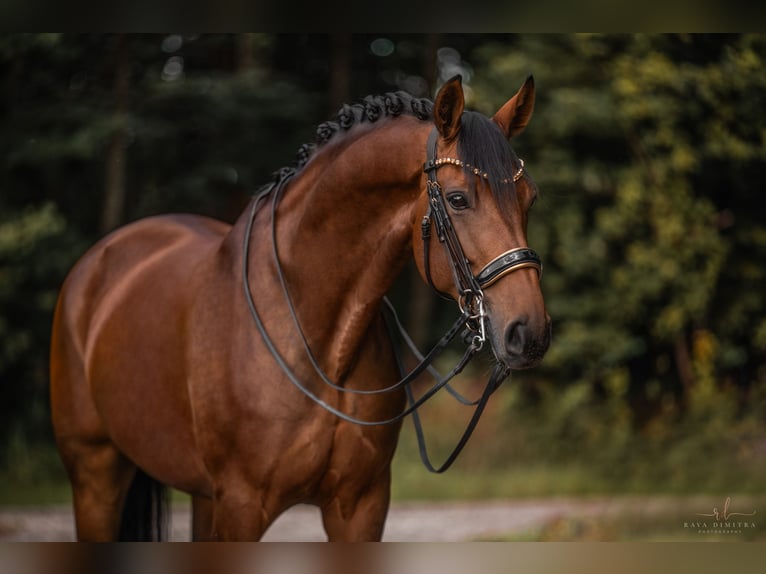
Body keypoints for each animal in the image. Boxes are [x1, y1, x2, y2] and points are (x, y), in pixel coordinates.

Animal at [49, 74, 552, 544]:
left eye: (530, 198)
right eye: (458, 199)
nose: (529, 333)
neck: (320, 343)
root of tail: (96, 262)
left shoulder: (360, 507)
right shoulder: (242, 506)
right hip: (96, 474)